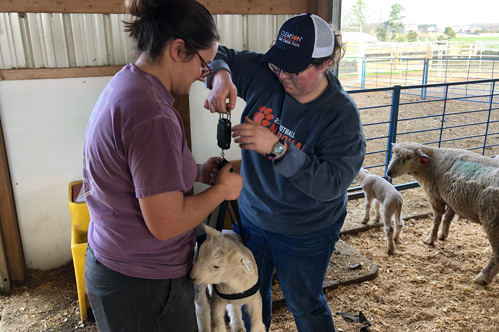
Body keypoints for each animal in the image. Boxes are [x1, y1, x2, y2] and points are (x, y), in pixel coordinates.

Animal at [386, 141, 499, 284]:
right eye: (393, 154)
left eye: (407, 157)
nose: (389, 172)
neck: (433, 162)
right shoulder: (451, 196)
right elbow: (448, 216)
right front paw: (443, 235)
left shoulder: (435, 195)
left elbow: (438, 217)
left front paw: (430, 239)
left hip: (492, 220)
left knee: (497, 253)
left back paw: (483, 277)